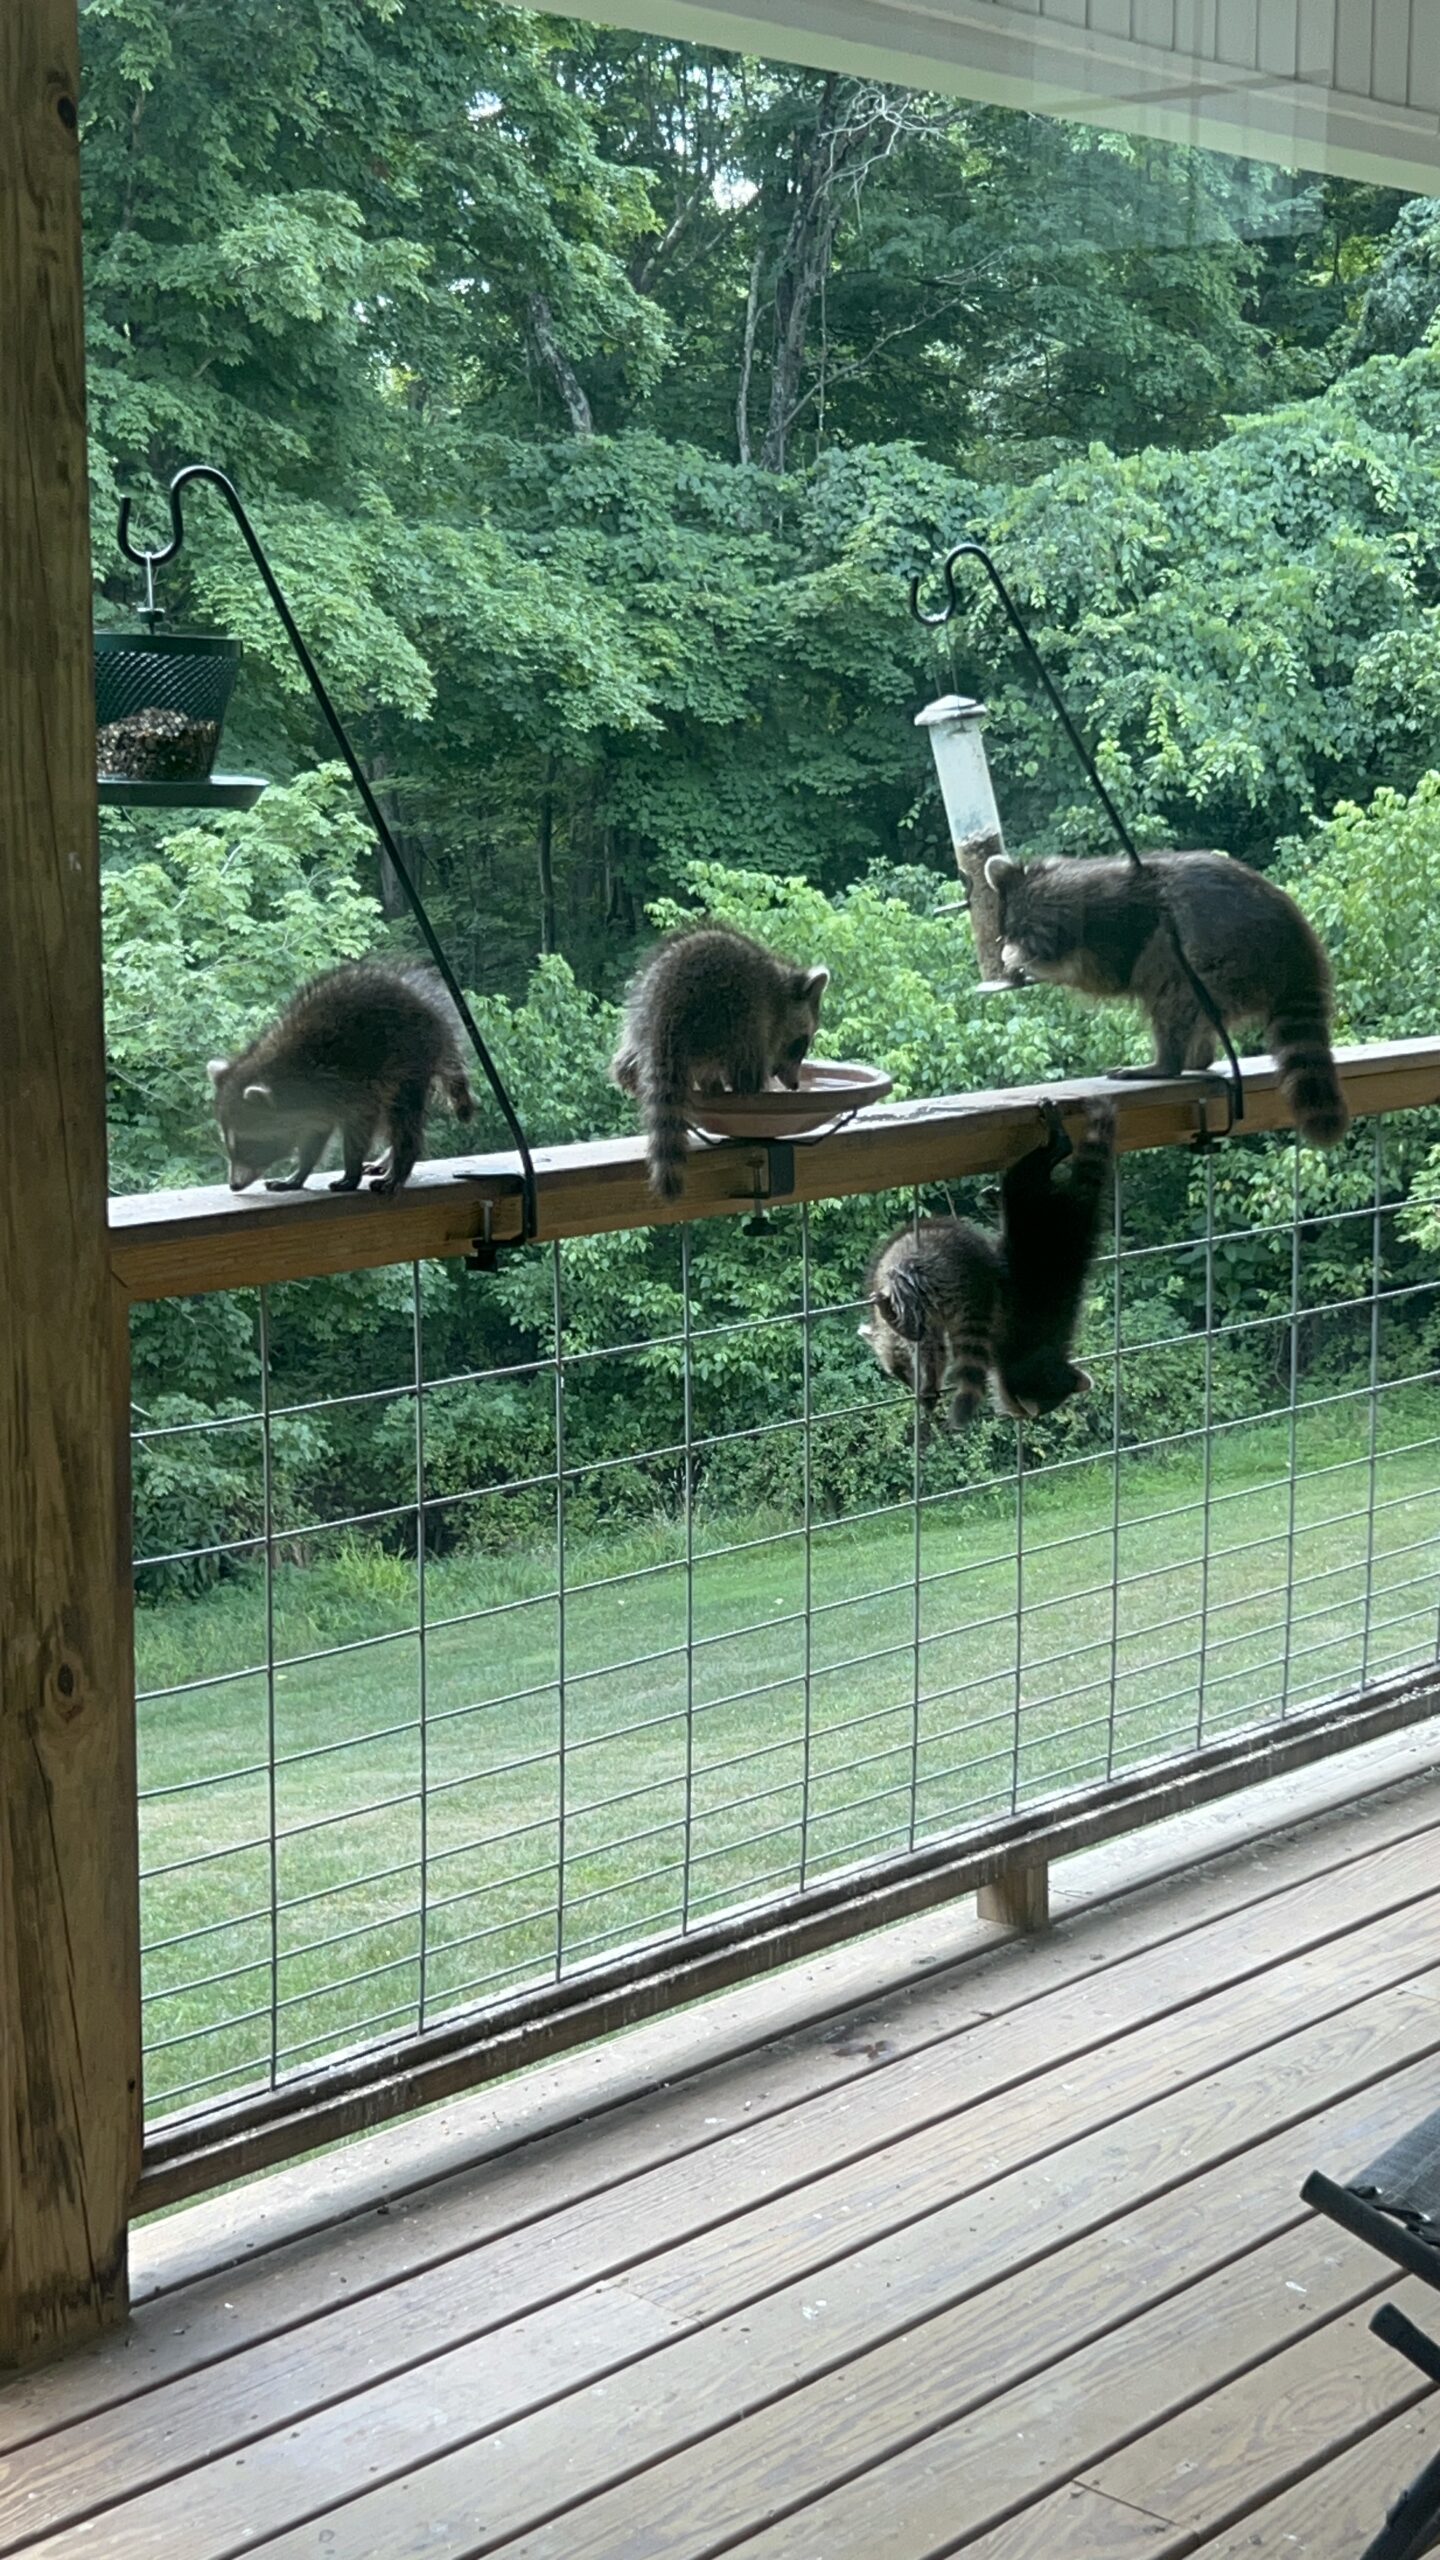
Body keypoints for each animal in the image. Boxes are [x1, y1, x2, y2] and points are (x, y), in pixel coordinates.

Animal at [209, 960, 475, 1196]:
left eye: (248, 1145)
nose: (234, 1185)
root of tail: (430, 1008)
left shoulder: (348, 1085)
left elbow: (358, 1128)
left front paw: (351, 1171)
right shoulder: (315, 1105)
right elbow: (314, 1137)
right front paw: (300, 1173)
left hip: (409, 1058)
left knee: (402, 1119)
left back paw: (400, 1164)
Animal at [612, 925, 830, 1200]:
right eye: (800, 1045)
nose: (794, 1085)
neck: (781, 985)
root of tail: (667, 1007)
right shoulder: (766, 1012)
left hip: (642, 1013)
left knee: (627, 1063)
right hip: (734, 1012)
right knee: (745, 1058)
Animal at [861, 1100, 1115, 1427]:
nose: (1018, 1415)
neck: (1042, 1353)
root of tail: (1074, 1215)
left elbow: (933, 1347)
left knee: (1021, 1176)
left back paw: (1055, 1148)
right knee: (1024, 1177)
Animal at [985, 851, 1348, 1149]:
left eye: (1012, 932)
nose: (1003, 945)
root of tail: (1298, 945)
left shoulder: (1109, 933)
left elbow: (1095, 970)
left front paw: (1022, 962)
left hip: (1227, 960)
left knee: (1173, 996)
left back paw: (1167, 1063)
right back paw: (1198, 1058)